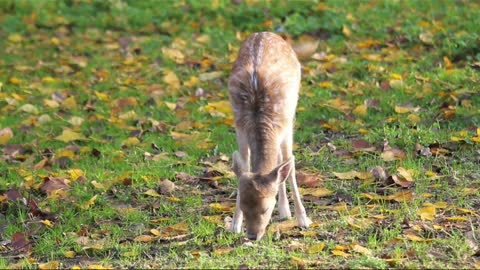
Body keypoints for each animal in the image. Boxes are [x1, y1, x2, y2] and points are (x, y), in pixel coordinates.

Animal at [229, 31, 312, 240]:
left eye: (266, 209)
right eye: (243, 205)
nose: (252, 236)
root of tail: (264, 32)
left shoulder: (286, 126)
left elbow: (290, 165)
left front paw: (303, 219)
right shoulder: (240, 129)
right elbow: (244, 166)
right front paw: (234, 225)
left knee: (282, 161)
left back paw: (286, 212)